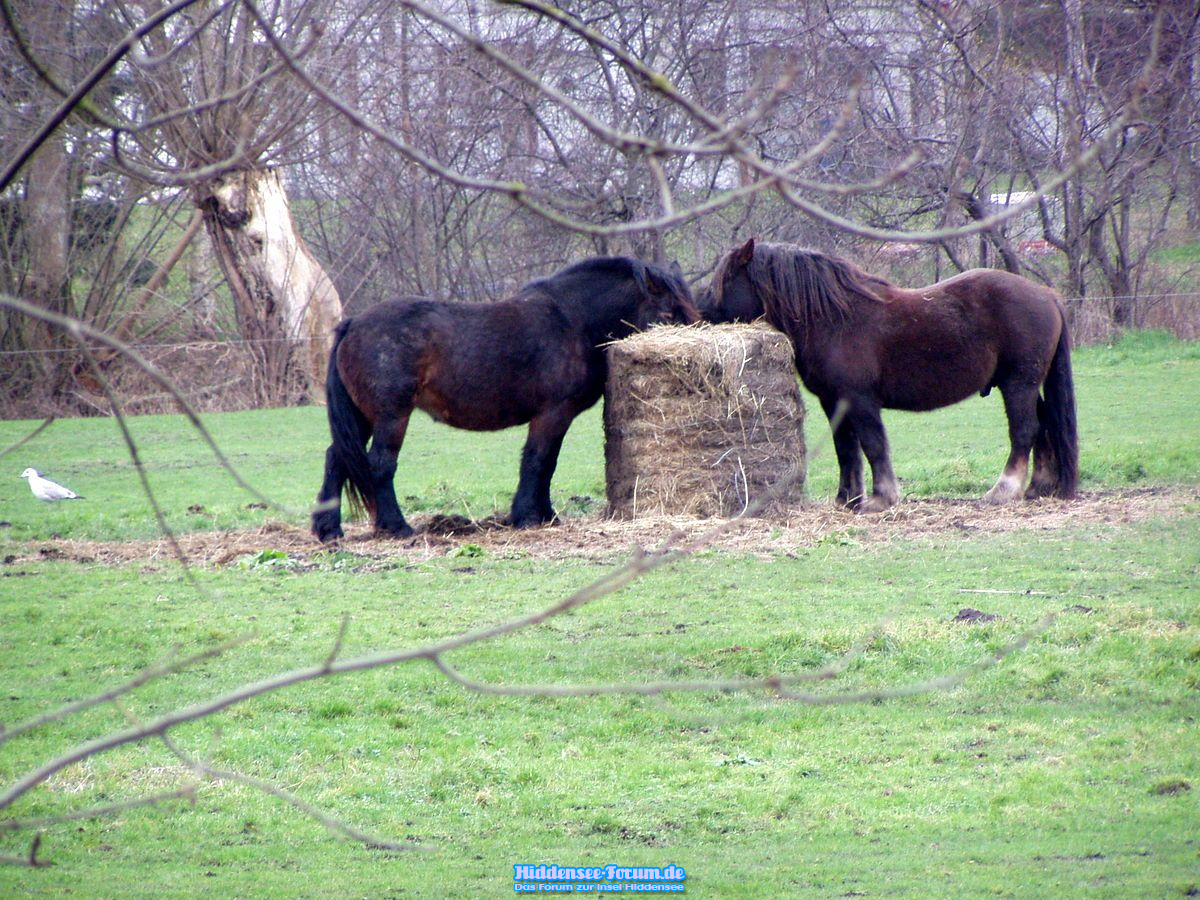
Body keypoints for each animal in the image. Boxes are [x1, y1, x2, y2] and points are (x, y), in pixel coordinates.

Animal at [312, 256, 699, 542]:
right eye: (668, 314)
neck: (573, 321)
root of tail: (353, 324)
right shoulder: (552, 413)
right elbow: (537, 461)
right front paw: (526, 516)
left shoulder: (559, 417)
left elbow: (548, 463)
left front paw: (546, 515)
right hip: (391, 416)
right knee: (380, 464)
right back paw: (396, 526)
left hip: (362, 417)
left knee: (336, 458)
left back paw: (329, 530)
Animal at [701, 239, 1077, 512]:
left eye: (726, 279)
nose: (700, 314)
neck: (833, 320)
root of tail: (1047, 295)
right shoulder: (833, 402)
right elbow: (846, 450)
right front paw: (846, 499)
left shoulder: (860, 400)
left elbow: (873, 445)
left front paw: (881, 498)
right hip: (1026, 385)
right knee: (1044, 425)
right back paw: (1039, 488)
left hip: (1018, 384)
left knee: (1024, 431)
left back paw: (1003, 491)